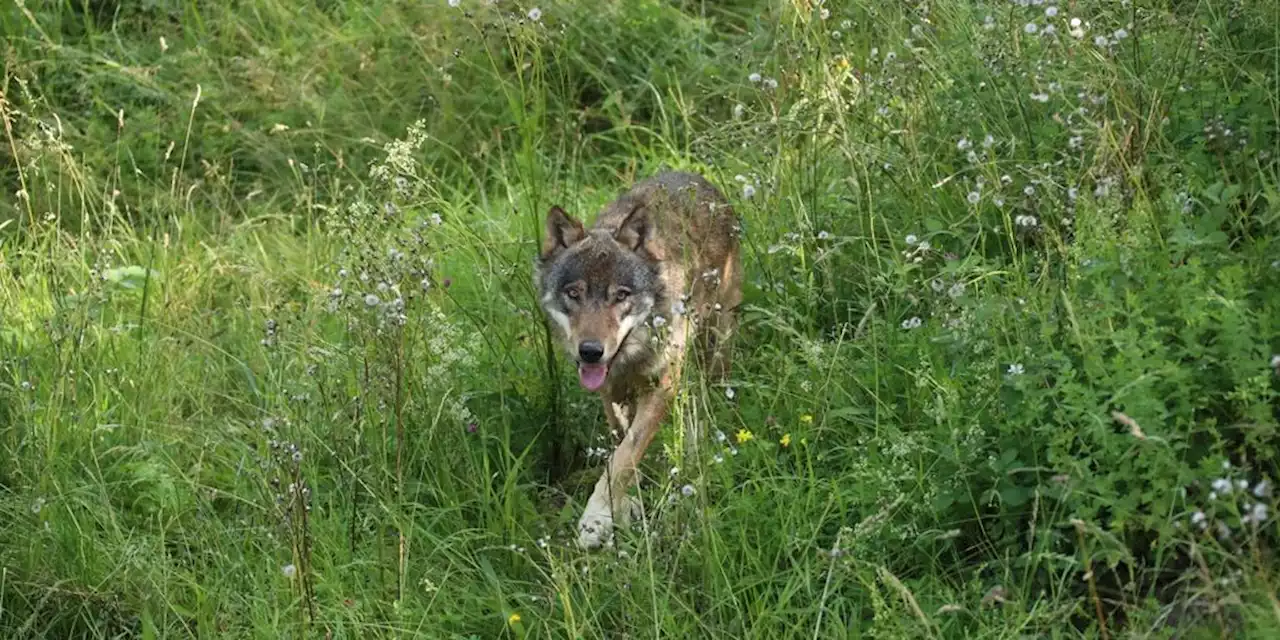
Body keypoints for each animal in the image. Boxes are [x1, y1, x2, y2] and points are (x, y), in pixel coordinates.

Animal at [535, 171, 747, 550]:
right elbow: (622, 447)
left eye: (621, 295)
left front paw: (597, 518)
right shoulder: (610, 392)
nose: (590, 351)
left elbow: (624, 457)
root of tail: (696, 177)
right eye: (573, 294)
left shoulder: (661, 387)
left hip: (717, 343)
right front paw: (626, 505)